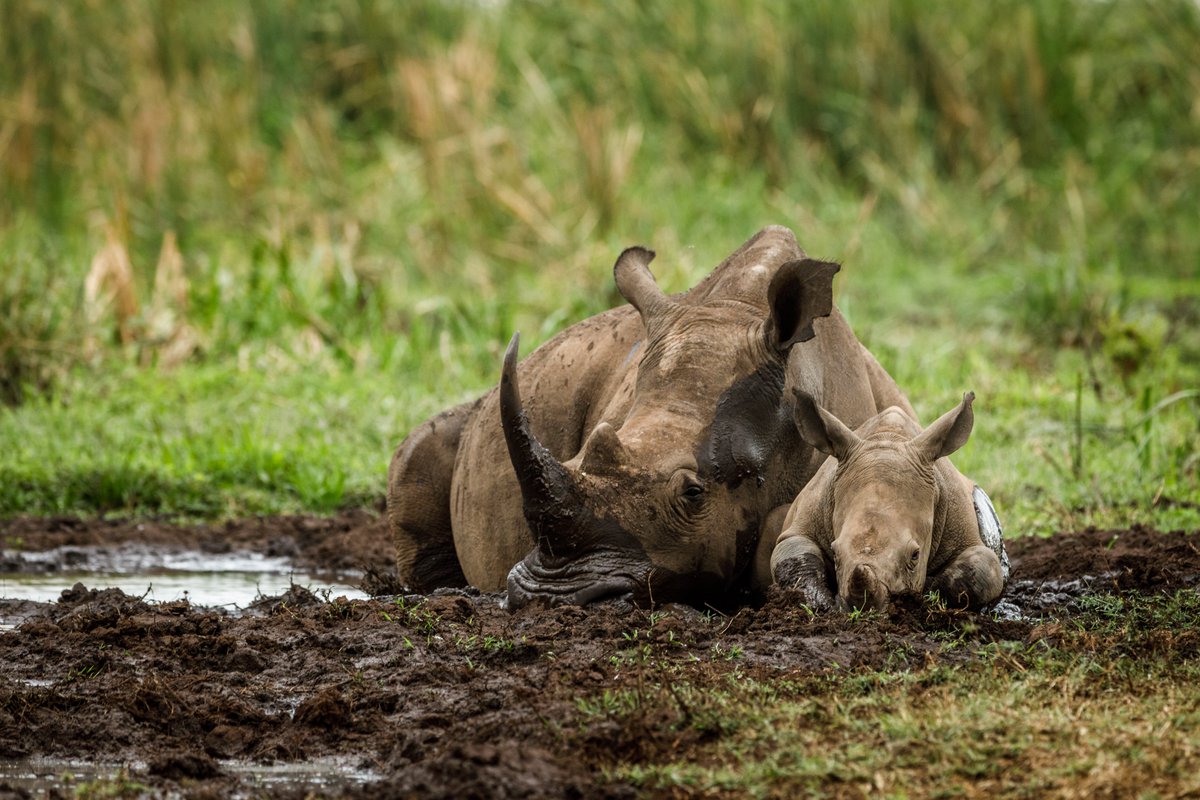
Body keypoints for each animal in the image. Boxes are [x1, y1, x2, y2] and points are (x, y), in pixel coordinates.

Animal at [769, 389, 1010, 612]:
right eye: (835, 553)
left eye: (915, 556)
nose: (863, 609)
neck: (888, 437)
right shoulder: (806, 518)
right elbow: (791, 553)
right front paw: (822, 603)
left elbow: (980, 570)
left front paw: (924, 594)